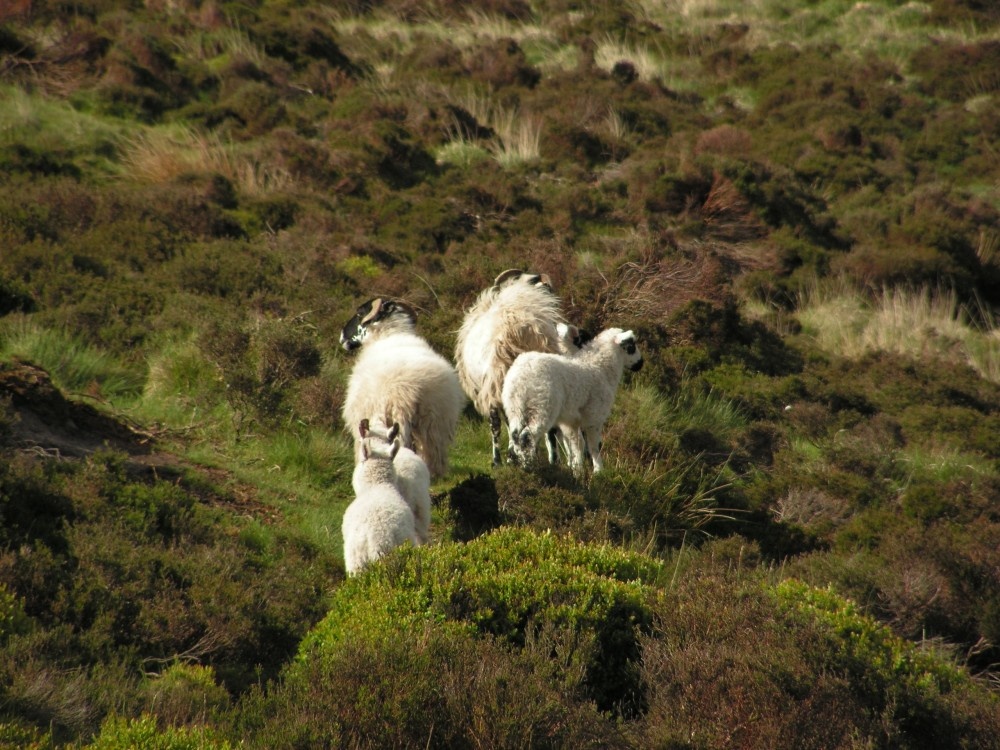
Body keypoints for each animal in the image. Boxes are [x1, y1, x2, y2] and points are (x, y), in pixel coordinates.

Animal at [340, 297, 465, 479]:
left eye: (359, 313)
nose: (342, 336)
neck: (390, 334)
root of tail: (411, 390)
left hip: (396, 420)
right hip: (434, 422)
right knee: (434, 455)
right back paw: (434, 475)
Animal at [454, 269, 569, 465]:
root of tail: (518, 330)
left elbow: (502, 423)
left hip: (495, 381)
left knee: (498, 423)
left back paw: (501, 459)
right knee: (547, 426)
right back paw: (552, 460)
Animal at [502, 327, 644, 475]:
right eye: (631, 346)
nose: (641, 363)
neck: (601, 368)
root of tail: (521, 376)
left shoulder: (570, 421)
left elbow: (576, 445)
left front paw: (577, 469)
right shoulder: (594, 416)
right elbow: (594, 445)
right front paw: (598, 471)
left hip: (515, 407)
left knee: (515, 435)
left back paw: (516, 463)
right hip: (541, 407)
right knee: (527, 435)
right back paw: (528, 466)